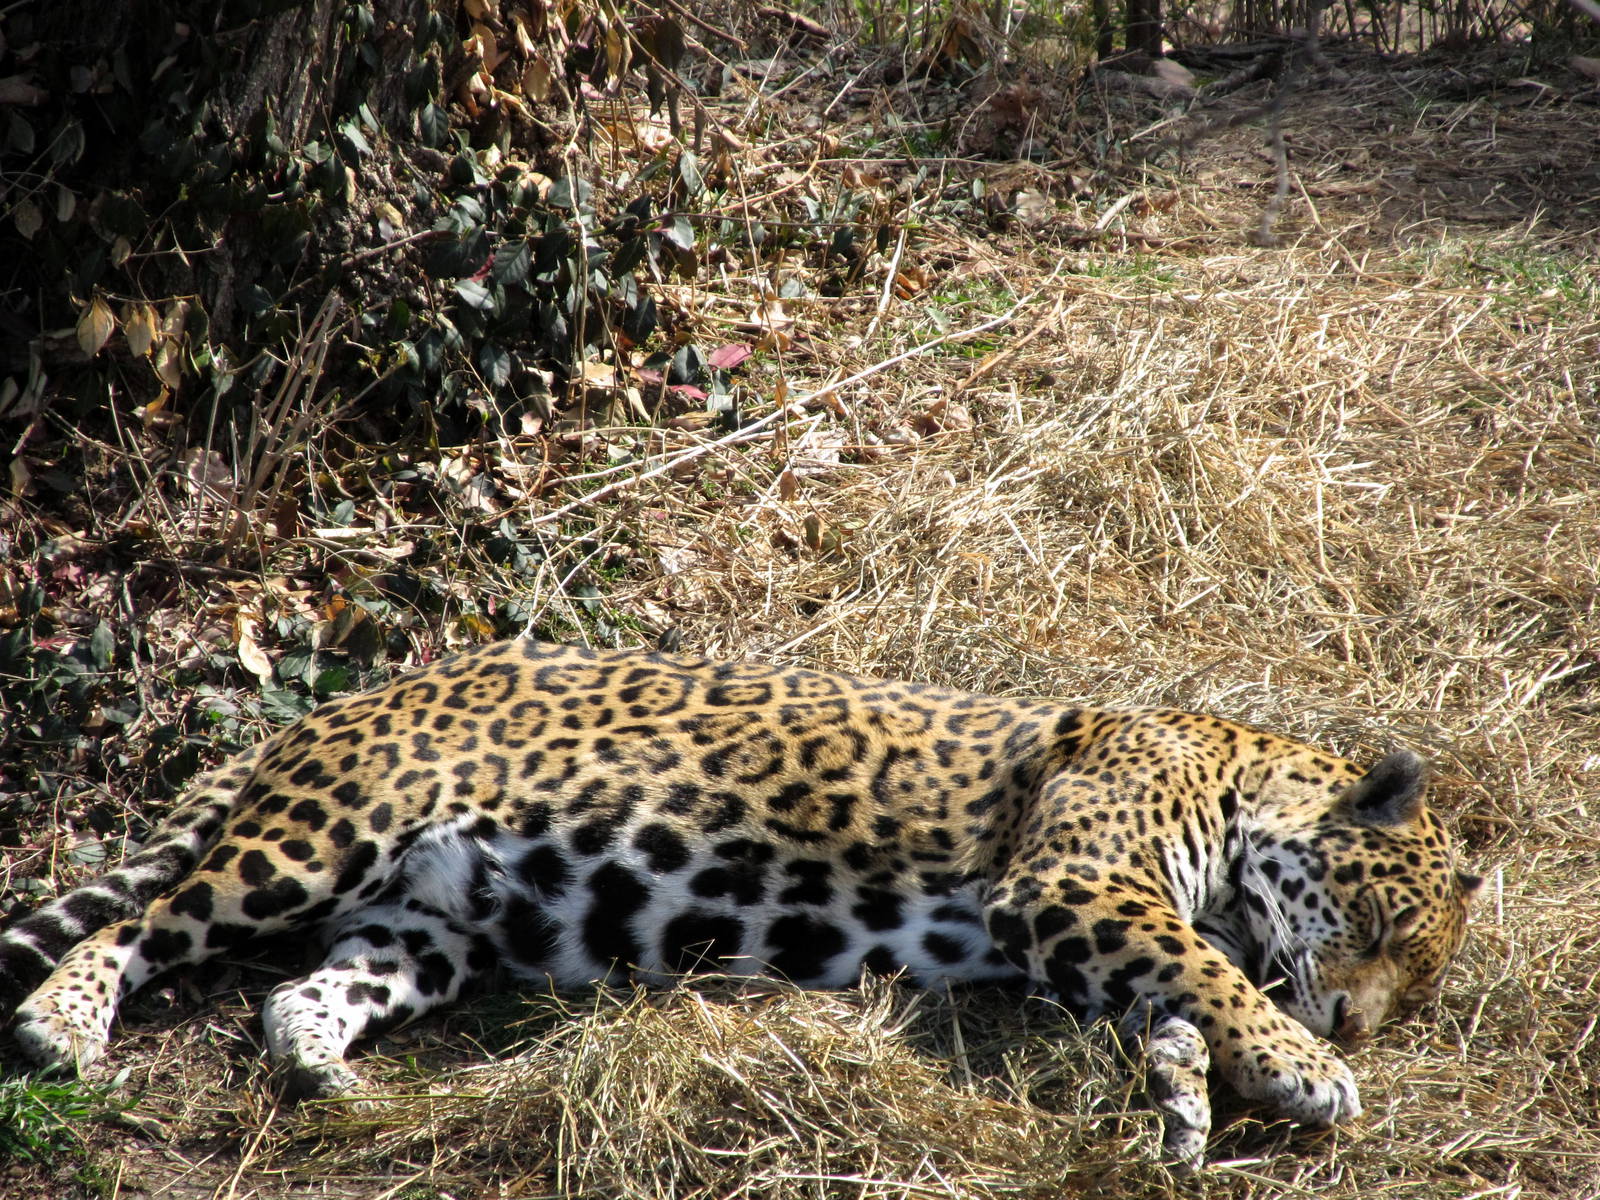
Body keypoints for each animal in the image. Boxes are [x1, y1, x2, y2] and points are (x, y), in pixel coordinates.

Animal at [0, 639, 1480, 1166]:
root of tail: (342, 701)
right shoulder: (1070, 884)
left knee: (302, 988)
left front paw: (1186, 1104)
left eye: (1419, 986)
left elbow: (1174, 1001)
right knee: (138, 928)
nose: (1358, 1023)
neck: (1236, 774)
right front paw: (1301, 1072)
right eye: (1384, 936)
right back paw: (59, 1030)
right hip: (313, 839)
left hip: (433, 921)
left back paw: (327, 1079)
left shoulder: (1090, 932)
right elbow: (1212, 975)